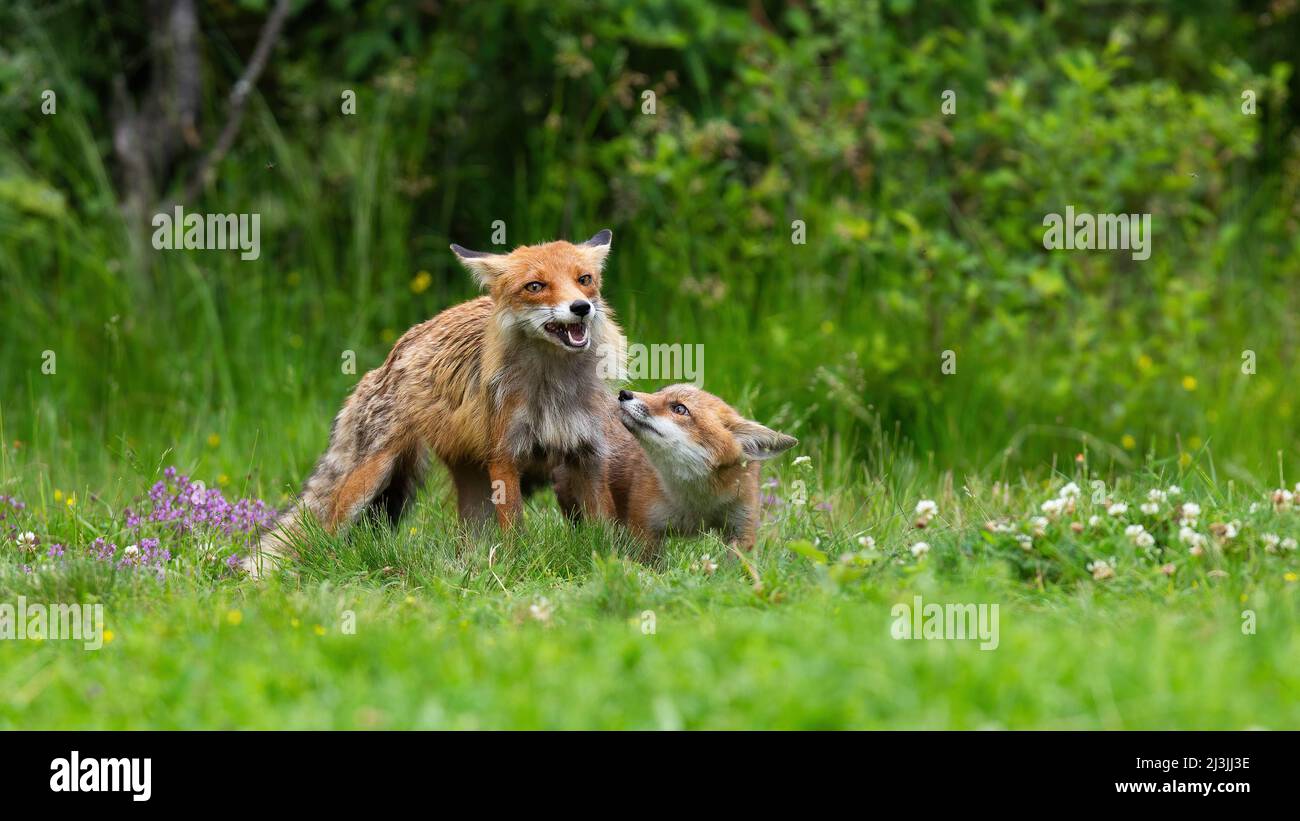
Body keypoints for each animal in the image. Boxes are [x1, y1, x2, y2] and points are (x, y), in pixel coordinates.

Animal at [246, 230, 624, 576]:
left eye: (584, 280)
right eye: (535, 286)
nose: (581, 308)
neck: (555, 388)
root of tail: (387, 361)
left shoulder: (589, 451)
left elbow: (605, 524)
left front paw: (611, 561)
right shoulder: (505, 457)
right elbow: (515, 531)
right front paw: (519, 567)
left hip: (472, 492)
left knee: (466, 541)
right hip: (371, 478)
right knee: (326, 532)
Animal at [556, 384, 797, 555]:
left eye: (679, 408)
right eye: (658, 393)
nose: (623, 393)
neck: (698, 502)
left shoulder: (742, 527)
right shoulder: (644, 527)